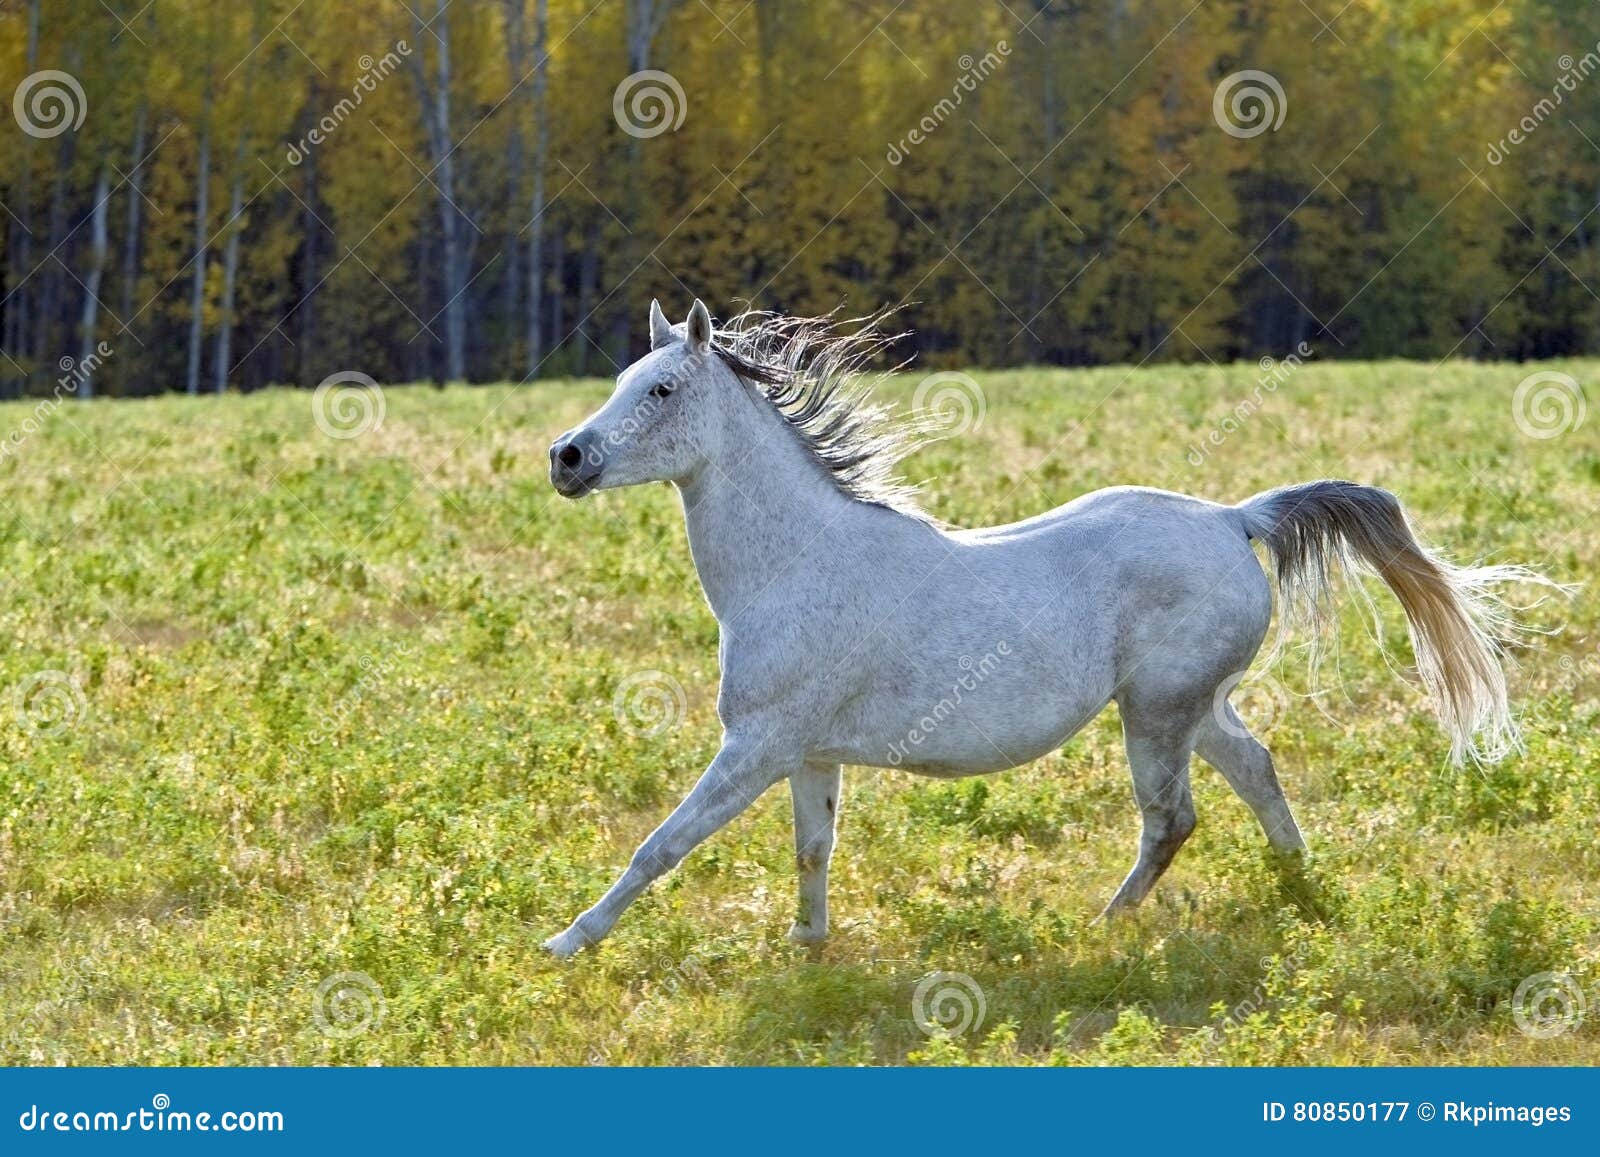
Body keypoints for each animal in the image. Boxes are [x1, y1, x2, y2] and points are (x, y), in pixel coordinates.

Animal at [544, 299, 1542, 960]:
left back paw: (1103, 926)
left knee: (1171, 818)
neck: (794, 563)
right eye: (622, 381)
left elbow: (661, 843)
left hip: (1156, 714)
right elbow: (812, 850)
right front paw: (808, 948)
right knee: (1256, 770)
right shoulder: (809, 752)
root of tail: (1235, 519)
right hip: (1194, 706)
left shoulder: (756, 744)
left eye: (663, 388)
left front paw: (564, 942)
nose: (567, 457)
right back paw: (1301, 889)